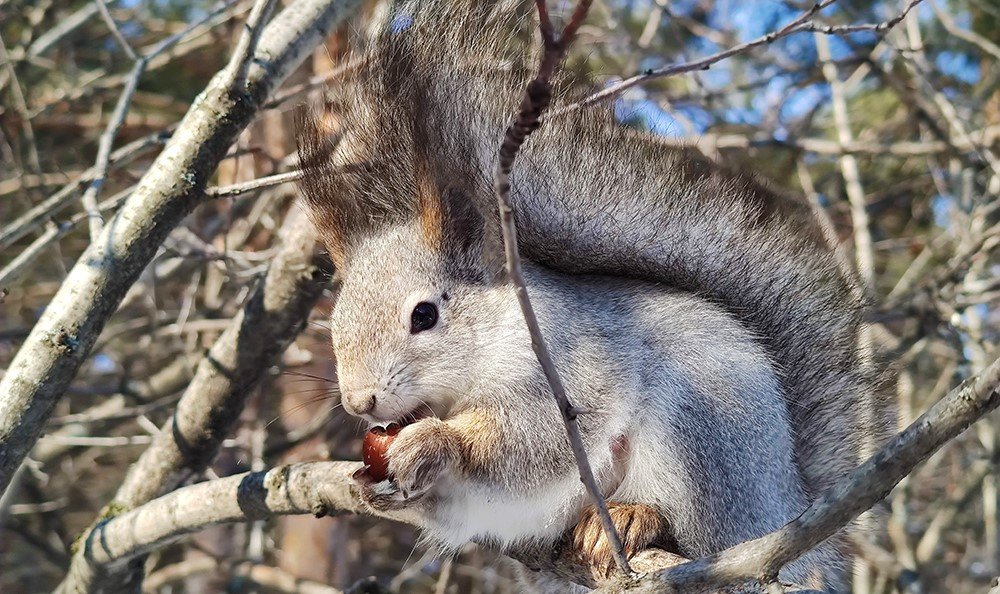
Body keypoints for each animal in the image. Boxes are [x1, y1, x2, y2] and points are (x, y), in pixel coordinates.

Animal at [294, 0, 884, 588]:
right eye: (335, 323)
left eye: (424, 315)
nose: (359, 402)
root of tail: (786, 506)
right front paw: (379, 480)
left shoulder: (571, 366)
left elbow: (531, 441)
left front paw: (436, 443)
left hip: (704, 434)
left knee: (692, 528)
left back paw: (632, 518)